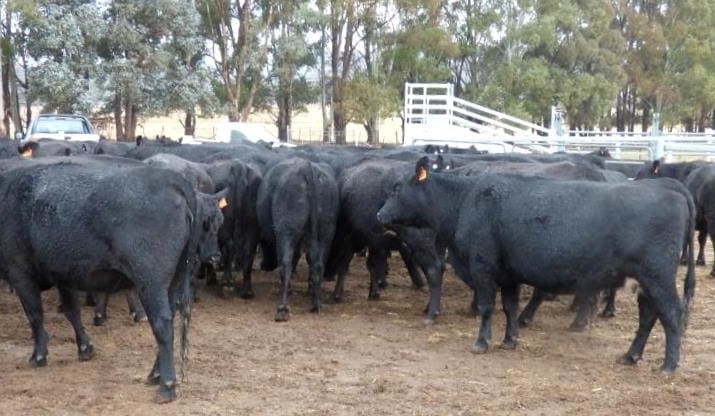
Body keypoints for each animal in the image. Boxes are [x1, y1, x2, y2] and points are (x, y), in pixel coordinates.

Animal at [0, 159, 226, 402]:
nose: (215, 256)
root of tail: (172, 179)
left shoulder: (19, 272)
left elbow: (35, 315)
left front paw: (39, 356)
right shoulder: (62, 274)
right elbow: (71, 310)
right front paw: (85, 348)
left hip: (151, 281)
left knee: (162, 323)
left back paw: (166, 385)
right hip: (175, 278)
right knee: (171, 317)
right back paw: (155, 374)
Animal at [257, 157, 339, 321]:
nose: (265, 265)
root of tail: (307, 168)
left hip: (286, 230)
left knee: (286, 263)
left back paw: (282, 308)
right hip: (326, 232)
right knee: (318, 264)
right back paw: (316, 304)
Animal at [377, 157, 694, 372]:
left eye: (396, 189)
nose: (380, 214)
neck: (466, 200)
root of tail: (669, 185)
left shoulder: (483, 266)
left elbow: (487, 307)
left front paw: (481, 342)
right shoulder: (508, 274)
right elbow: (509, 306)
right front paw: (510, 340)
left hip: (658, 275)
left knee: (671, 312)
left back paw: (669, 365)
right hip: (646, 279)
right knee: (649, 314)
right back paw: (631, 355)